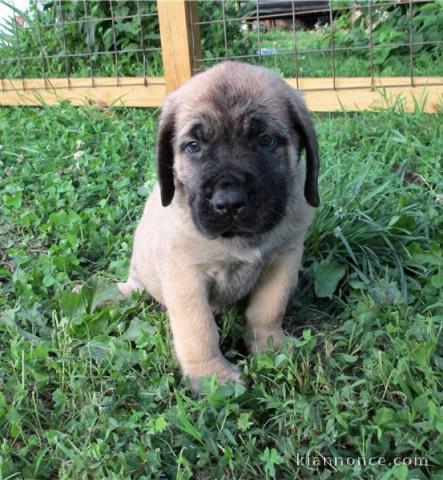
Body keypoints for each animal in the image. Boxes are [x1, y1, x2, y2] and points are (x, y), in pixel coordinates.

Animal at [119, 62, 320, 390]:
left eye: (265, 140)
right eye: (193, 146)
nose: (229, 202)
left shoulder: (284, 259)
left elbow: (268, 308)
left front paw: (270, 347)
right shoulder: (185, 277)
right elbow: (198, 330)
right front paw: (212, 376)